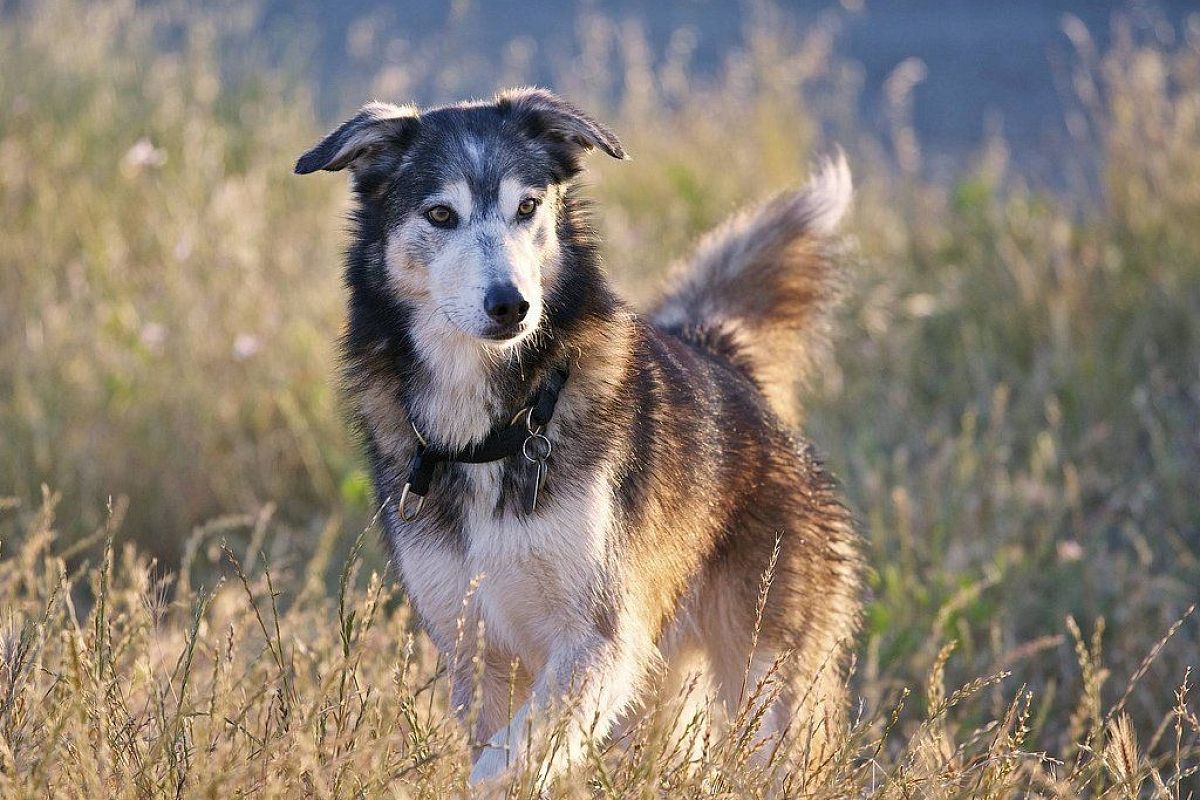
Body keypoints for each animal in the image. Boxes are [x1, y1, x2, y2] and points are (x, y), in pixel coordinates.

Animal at [300, 89, 864, 786]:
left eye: (526, 207)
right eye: (440, 214)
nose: (511, 305)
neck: (496, 430)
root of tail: (725, 358)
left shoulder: (600, 641)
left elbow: (503, 767)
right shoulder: (478, 656)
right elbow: (496, 755)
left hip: (766, 688)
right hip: (660, 695)